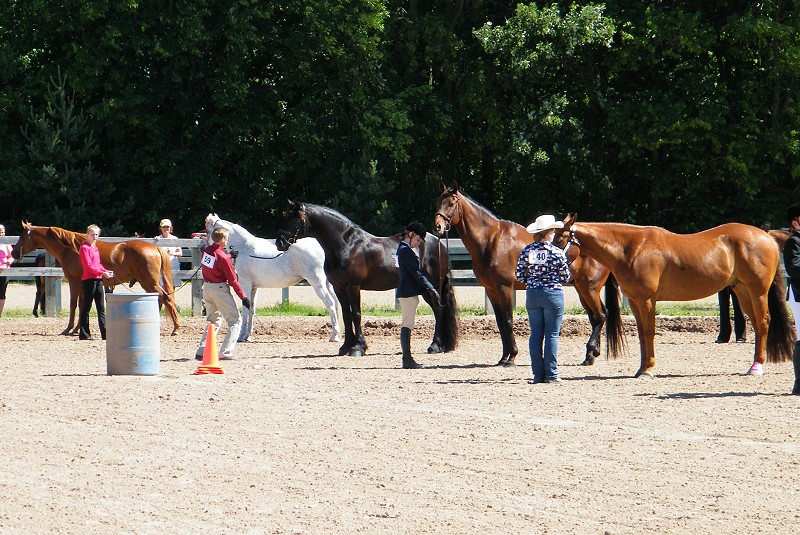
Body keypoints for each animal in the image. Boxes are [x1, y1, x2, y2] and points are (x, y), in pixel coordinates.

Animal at [11, 222, 180, 335]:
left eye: (22, 236)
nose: (13, 253)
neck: (71, 248)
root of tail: (155, 248)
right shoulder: (83, 283)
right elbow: (82, 305)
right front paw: (77, 329)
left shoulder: (74, 282)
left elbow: (74, 305)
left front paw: (68, 329)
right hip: (146, 283)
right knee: (163, 298)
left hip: (149, 281)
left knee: (166, 298)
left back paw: (176, 328)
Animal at [204, 214, 341, 343]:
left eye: (207, 231)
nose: (205, 248)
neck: (243, 248)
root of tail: (321, 248)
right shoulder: (253, 288)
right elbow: (252, 307)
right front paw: (248, 335)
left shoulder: (245, 284)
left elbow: (245, 308)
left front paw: (241, 336)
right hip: (328, 284)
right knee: (336, 302)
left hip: (318, 283)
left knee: (330, 303)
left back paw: (334, 335)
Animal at [277, 201, 459, 357]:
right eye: (285, 217)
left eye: (294, 219)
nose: (280, 242)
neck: (347, 245)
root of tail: (440, 244)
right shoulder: (339, 287)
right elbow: (346, 315)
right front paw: (346, 346)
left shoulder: (353, 286)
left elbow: (356, 314)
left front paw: (358, 348)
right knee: (438, 311)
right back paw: (441, 345)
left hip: (431, 285)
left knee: (439, 310)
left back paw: (435, 346)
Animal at [432, 184, 620, 366]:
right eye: (438, 202)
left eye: (452, 203)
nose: (438, 226)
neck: (491, 240)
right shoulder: (491, 290)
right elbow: (500, 322)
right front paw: (503, 357)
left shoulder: (505, 288)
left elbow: (508, 320)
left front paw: (512, 357)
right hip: (581, 289)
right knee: (596, 318)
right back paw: (591, 355)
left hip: (589, 289)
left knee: (601, 315)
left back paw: (591, 353)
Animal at [559, 215, 795, 378]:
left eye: (559, 239)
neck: (632, 248)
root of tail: (767, 237)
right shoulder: (635, 301)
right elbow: (642, 334)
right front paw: (641, 368)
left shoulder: (647, 300)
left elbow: (649, 332)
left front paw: (648, 370)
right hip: (742, 291)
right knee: (756, 323)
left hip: (758, 292)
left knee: (763, 323)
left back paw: (757, 367)